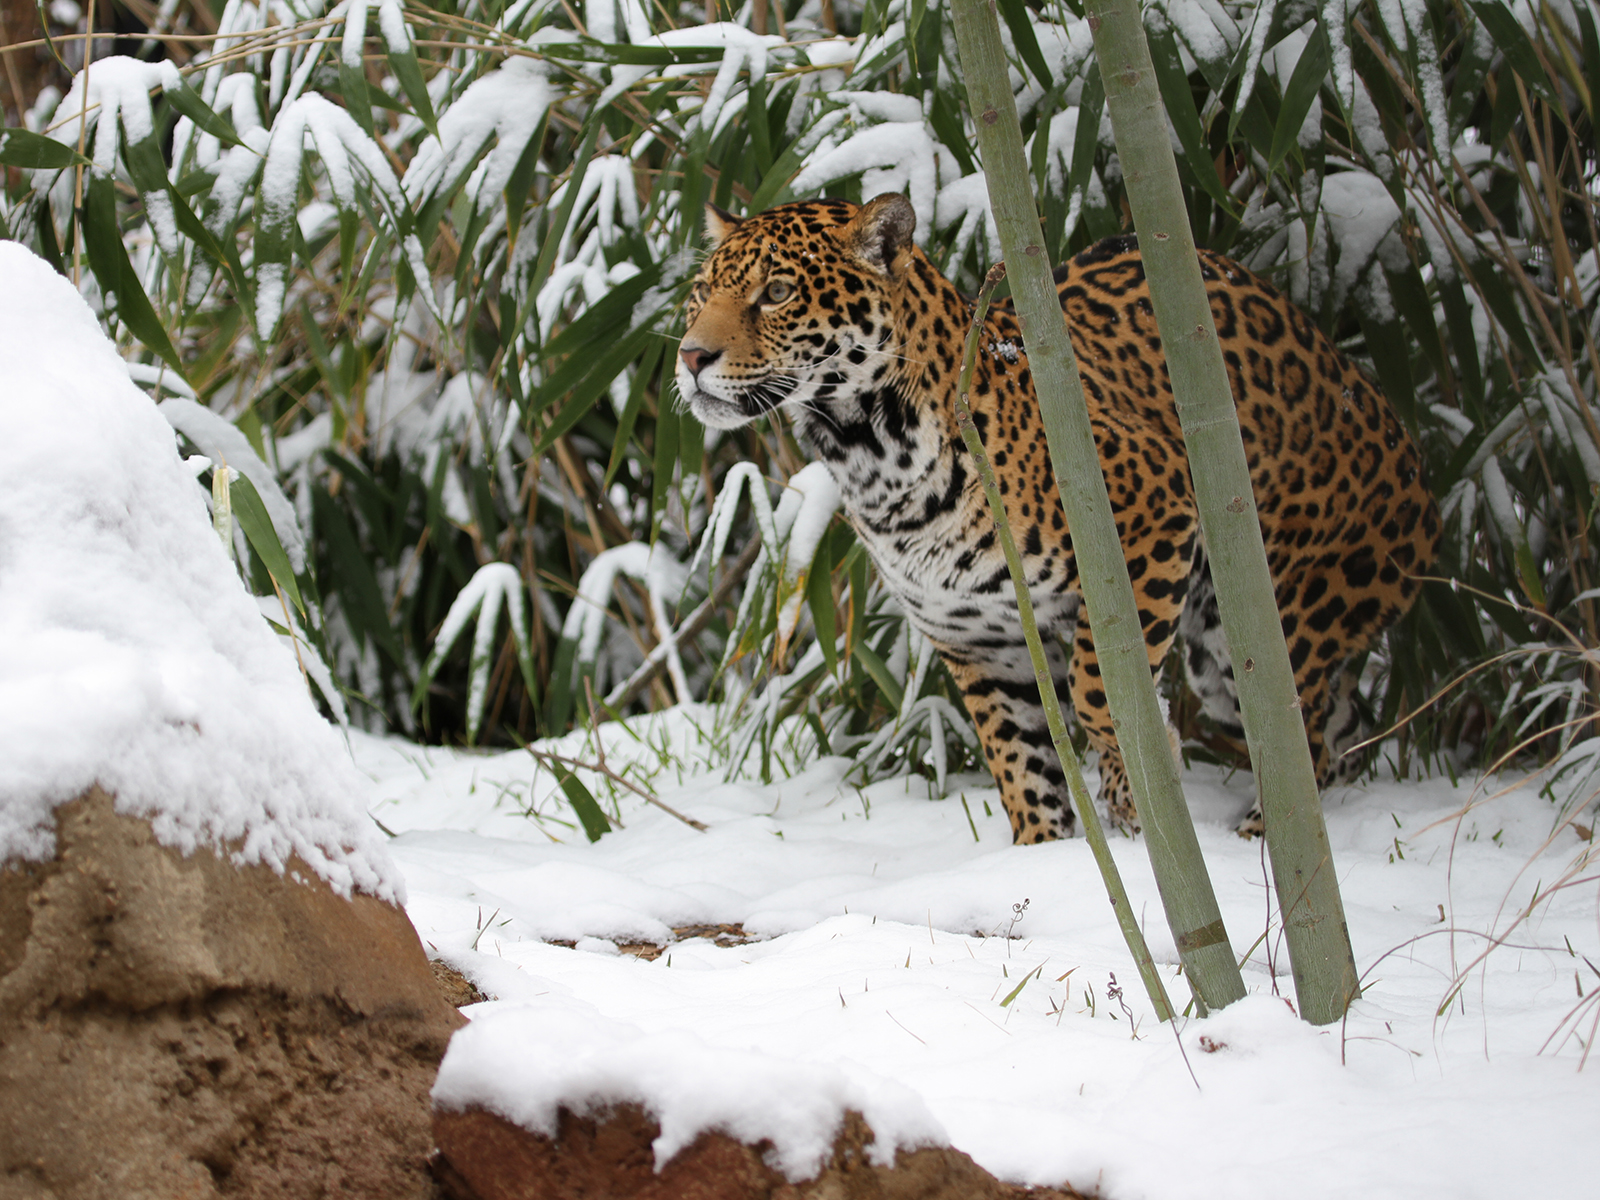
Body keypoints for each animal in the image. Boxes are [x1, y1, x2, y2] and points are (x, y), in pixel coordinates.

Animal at [676, 192, 1440, 844]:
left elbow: (1104, 693)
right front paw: (1046, 854)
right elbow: (1018, 758)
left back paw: (1265, 840)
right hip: (1219, 659)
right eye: (701, 292)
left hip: (1276, 615)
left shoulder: (1152, 513)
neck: (874, 455)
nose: (690, 355)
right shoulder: (972, 636)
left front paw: (1139, 807)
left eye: (777, 292)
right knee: (1339, 726)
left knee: (1297, 730)